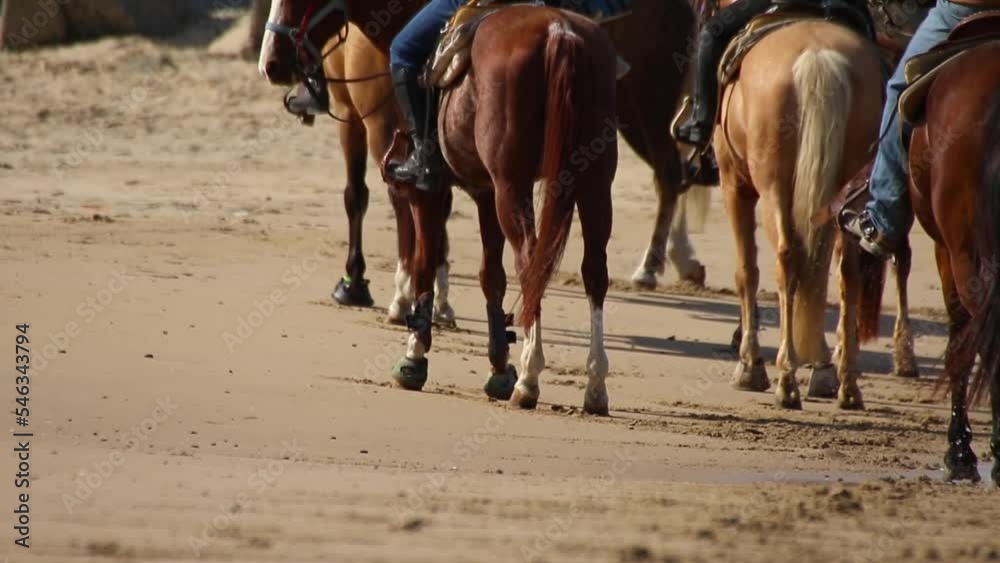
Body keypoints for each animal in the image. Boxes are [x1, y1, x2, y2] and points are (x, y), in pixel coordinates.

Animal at [260, 1, 620, 414]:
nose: (271, 62)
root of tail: (559, 31)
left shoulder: (426, 191)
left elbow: (424, 265)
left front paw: (414, 356)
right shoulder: (485, 193)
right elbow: (490, 277)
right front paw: (499, 366)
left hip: (513, 187)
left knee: (531, 264)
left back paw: (530, 378)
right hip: (593, 183)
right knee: (594, 273)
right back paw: (594, 385)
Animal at [714, 15, 884, 409]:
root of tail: (818, 57)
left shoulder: (734, 186)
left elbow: (747, 272)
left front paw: (750, 365)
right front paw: (822, 368)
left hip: (773, 187)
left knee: (787, 258)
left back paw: (787, 379)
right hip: (850, 190)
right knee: (846, 273)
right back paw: (847, 384)